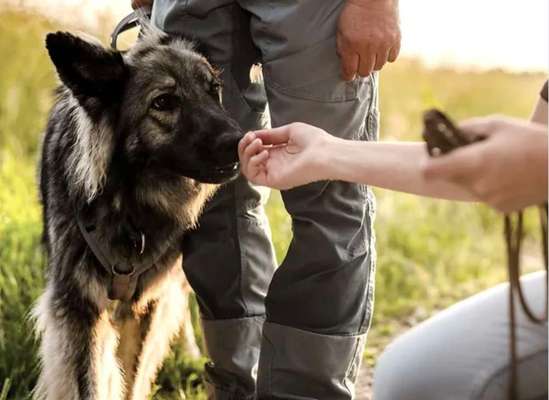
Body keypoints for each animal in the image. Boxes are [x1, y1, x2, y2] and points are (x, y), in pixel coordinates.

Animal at [32, 23, 242, 398]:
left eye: (212, 90)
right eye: (164, 102)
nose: (239, 140)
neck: (131, 204)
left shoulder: (145, 304)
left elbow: (134, 373)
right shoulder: (79, 307)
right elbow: (89, 381)